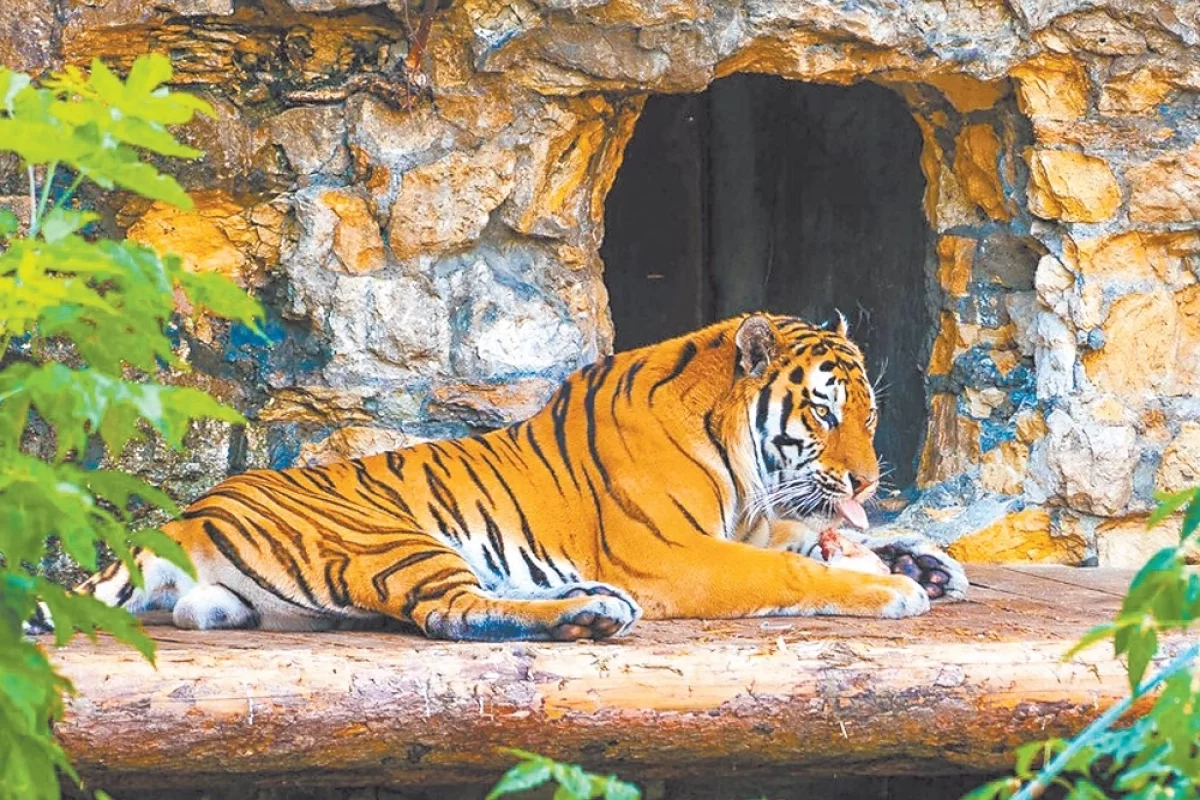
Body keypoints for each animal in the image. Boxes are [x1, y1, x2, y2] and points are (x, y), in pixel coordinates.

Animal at [27, 313, 967, 642]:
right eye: (824, 414)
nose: (869, 481)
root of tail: (182, 514)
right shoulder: (678, 557)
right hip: (397, 540)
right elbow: (789, 569)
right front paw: (890, 588)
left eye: (870, 416)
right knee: (450, 613)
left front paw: (919, 560)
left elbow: (812, 537)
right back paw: (590, 614)